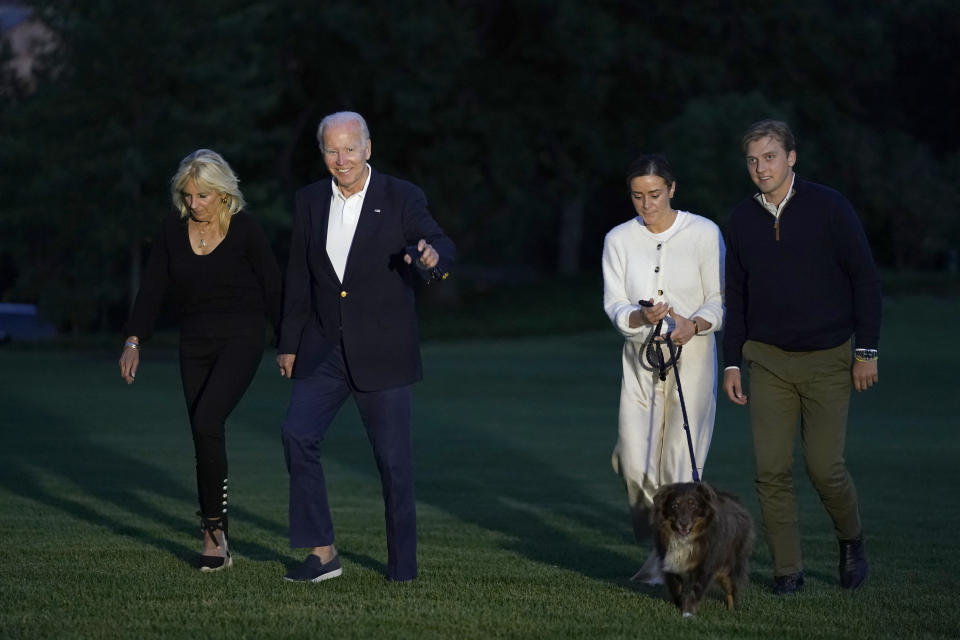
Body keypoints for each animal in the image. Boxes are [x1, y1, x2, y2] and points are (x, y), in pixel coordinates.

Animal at [652, 482, 756, 616]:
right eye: (675, 505)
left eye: (693, 505)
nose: (683, 524)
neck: (685, 539)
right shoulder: (670, 564)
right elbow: (676, 588)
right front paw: (679, 606)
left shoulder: (705, 565)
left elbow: (696, 590)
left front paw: (688, 612)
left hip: (728, 567)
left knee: (731, 590)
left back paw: (731, 611)